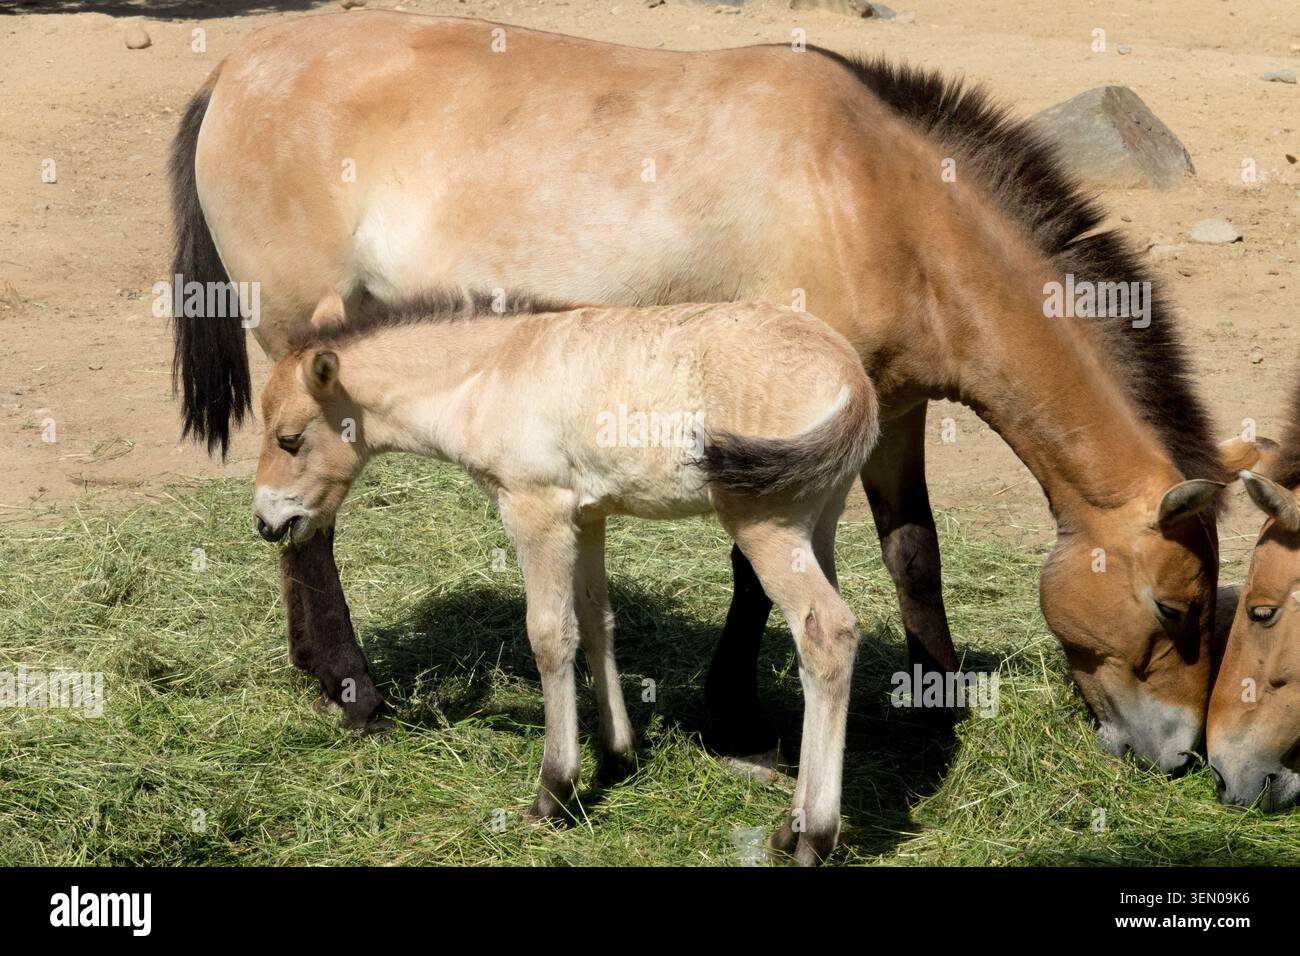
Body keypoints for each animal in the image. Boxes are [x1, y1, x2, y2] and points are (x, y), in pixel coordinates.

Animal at [170, 11, 1229, 771]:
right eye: (1176, 608)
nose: (1179, 756)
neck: (875, 198)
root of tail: (236, 69)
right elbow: (757, 574)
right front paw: (733, 716)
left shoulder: (892, 410)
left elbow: (913, 549)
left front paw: (936, 703)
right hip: (310, 364)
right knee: (308, 521)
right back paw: (353, 692)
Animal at [253, 290, 879, 863]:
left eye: (290, 438)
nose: (266, 521)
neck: (490, 372)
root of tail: (854, 378)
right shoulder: (588, 514)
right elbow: (596, 619)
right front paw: (616, 754)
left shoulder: (536, 509)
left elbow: (550, 636)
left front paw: (554, 792)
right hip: (819, 525)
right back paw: (789, 828)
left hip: (765, 526)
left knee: (827, 635)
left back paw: (814, 837)